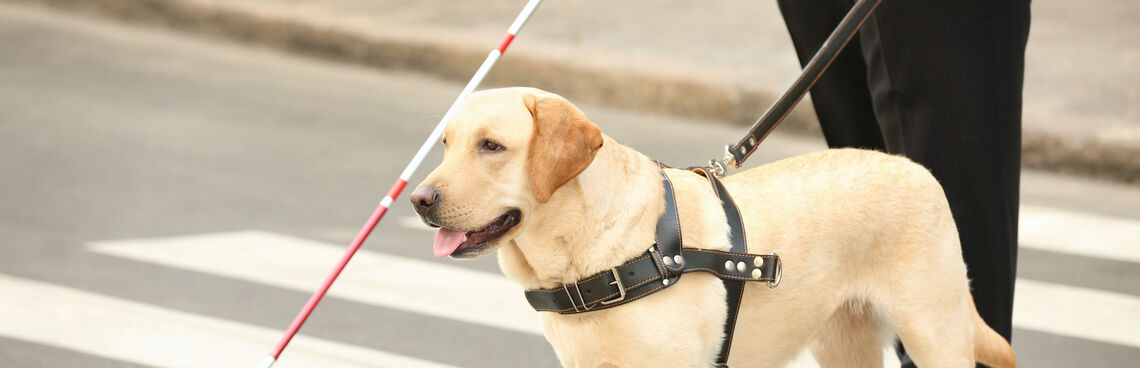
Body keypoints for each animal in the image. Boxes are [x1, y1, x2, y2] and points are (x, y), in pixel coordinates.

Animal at [410, 87, 1016, 368]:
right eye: (445, 144)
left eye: (492, 146)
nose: (418, 200)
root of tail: (915, 167)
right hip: (846, 339)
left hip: (934, 329)